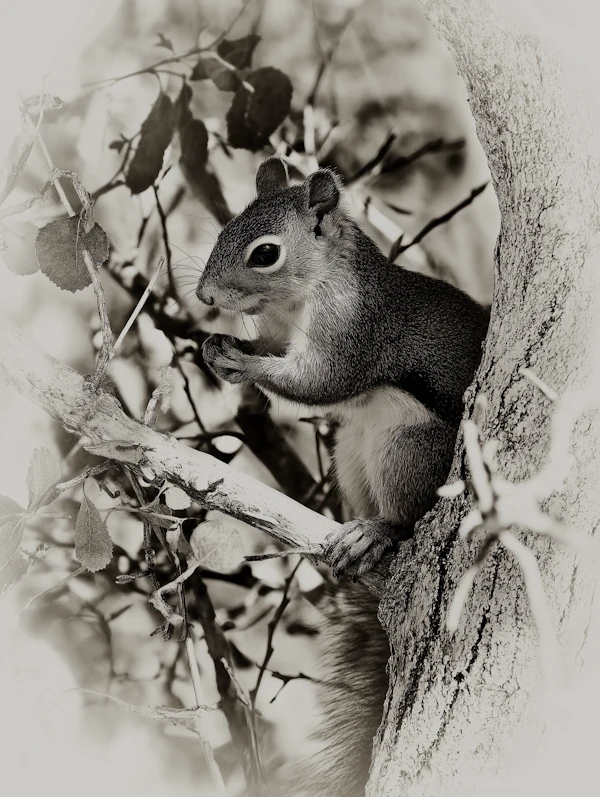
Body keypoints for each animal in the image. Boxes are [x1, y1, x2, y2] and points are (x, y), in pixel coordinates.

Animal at [197, 157, 489, 796]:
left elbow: (317, 382)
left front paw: (241, 360)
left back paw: (380, 533)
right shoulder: (281, 329)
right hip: (350, 453)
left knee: (408, 514)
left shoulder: (354, 328)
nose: (204, 296)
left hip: (410, 449)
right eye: (223, 225)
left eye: (265, 253)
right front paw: (219, 345)